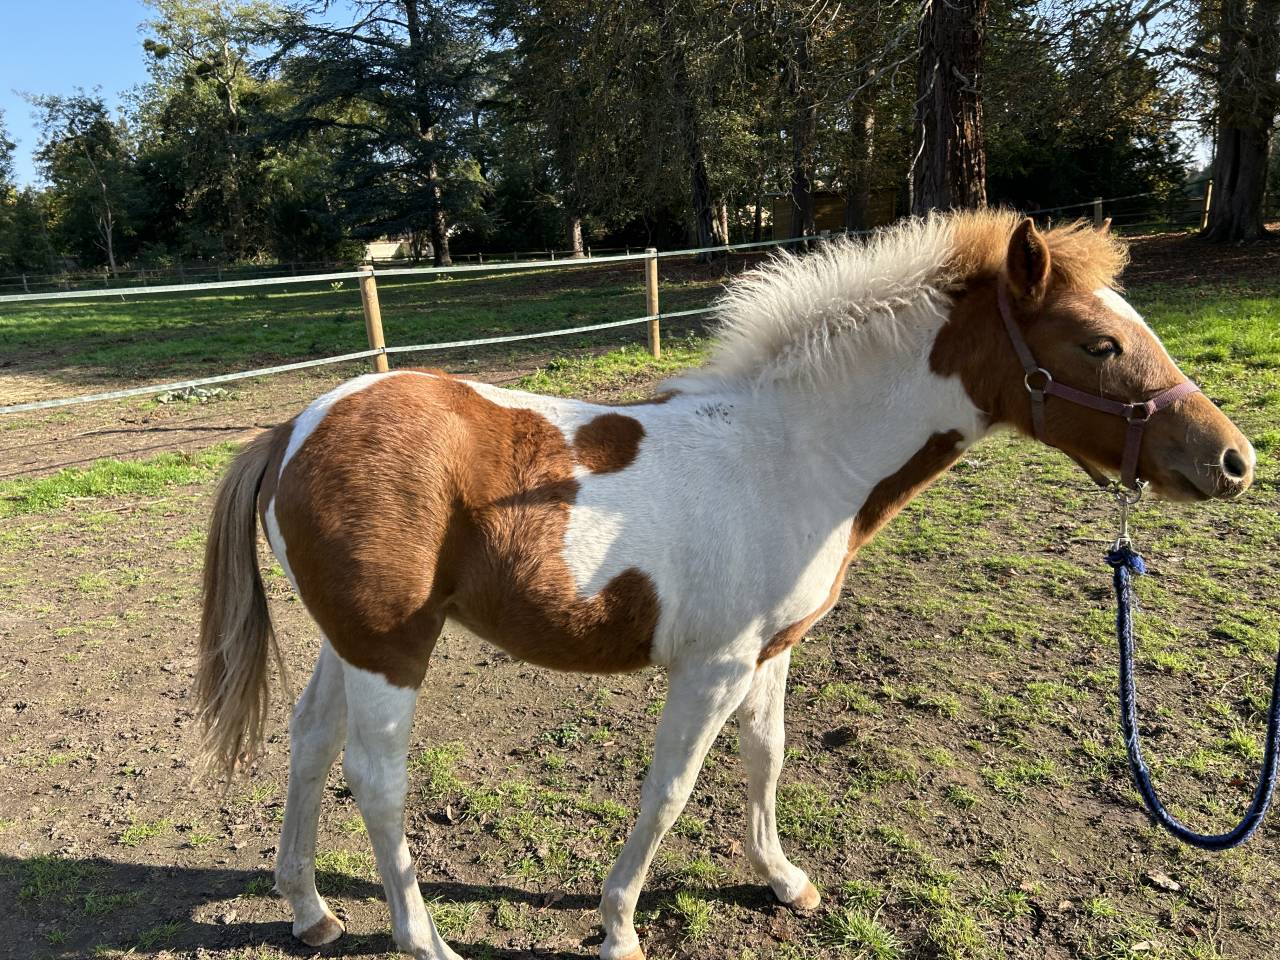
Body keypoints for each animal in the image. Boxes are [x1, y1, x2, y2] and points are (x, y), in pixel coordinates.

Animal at [195, 211, 1254, 960]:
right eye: (1099, 345)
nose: (1234, 460)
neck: (793, 456)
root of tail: (291, 430)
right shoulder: (712, 666)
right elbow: (670, 789)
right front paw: (620, 929)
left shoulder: (772, 653)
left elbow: (765, 760)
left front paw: (783, 880)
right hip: (393, 650)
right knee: (376, 780)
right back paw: (425, 942)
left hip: (351, 644)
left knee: (307, 744)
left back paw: (310, 911)